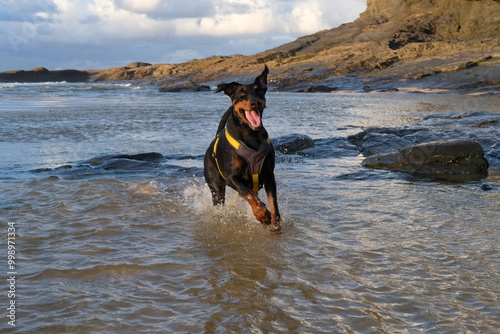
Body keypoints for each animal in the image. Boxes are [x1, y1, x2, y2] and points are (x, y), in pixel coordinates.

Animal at [203, 65, 282, 232]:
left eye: (260, 91)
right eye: (241, 94)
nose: (255, 102)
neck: (251, 134)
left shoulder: (269, 174)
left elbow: (273, 202)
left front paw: (274, 222)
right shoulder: (232, 177)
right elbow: (249, 194)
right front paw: (262, 214)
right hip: (216, 186)